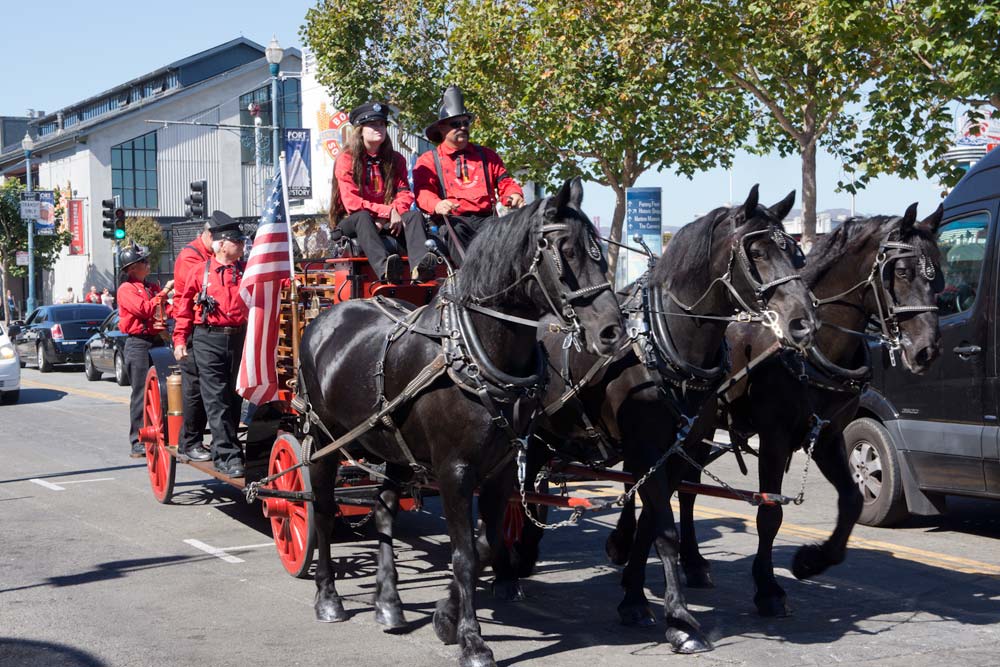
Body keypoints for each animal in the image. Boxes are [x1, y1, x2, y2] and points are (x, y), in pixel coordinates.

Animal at [298, 180, 624, 667]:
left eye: (599, 251)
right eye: (564, 251)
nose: (612, 331)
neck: (476, 353)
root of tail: (326, 316)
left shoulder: (502, 469)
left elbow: (486, 544)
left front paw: (445, 617)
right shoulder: (455, 471)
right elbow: (465, 555)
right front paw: (472, 640)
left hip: (393, 447)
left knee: (385, 510)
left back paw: (389, 603)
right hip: (325, 439)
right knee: (320, 508)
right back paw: (328, 597)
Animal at [492, 185, 820, 656]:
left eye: (795, 252)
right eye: (755, 251)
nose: (803, 324)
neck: (666, 344)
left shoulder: (675, 448)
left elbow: (652, 521)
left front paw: (634, 598)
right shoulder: (647, 445)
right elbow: (663, 529)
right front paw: (680, 621)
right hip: (525, 437)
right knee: (507, 493)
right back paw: (507, 569)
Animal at [608, 204, 944, 620]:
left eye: (937, 272)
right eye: (901, 272)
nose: (926, 350)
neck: (809, 349)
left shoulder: (827, 435)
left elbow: (851, 501)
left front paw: (811, 561)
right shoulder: (775, 437)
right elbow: (770, 514)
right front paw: (768, 588)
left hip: (699, 429)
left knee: (683, 489)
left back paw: (693, 562)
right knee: (641, 478)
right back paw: (623, 543)